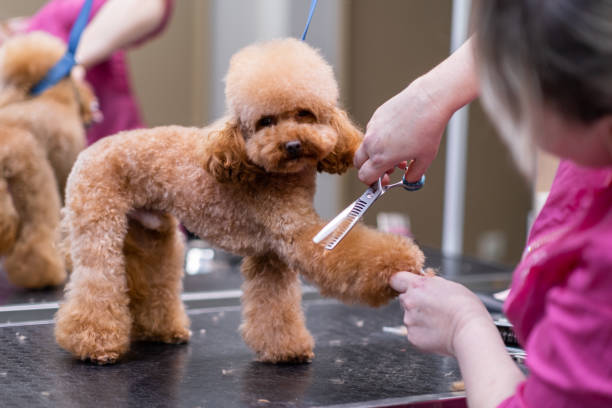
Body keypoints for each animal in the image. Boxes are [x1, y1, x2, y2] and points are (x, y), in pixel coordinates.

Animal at [55, 38, 424, 364]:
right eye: (265, 122)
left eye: (304, 113)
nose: (292, 145)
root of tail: (91, 150)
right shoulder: (296, 235)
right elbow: (348, 253)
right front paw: (399, 261)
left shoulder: (270, 255)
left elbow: (275, 306)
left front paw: (285, 349)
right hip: (98, 226)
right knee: (96, 280)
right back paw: (95, 344)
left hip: (151, 232)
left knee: (153, 277)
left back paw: (162, 330)